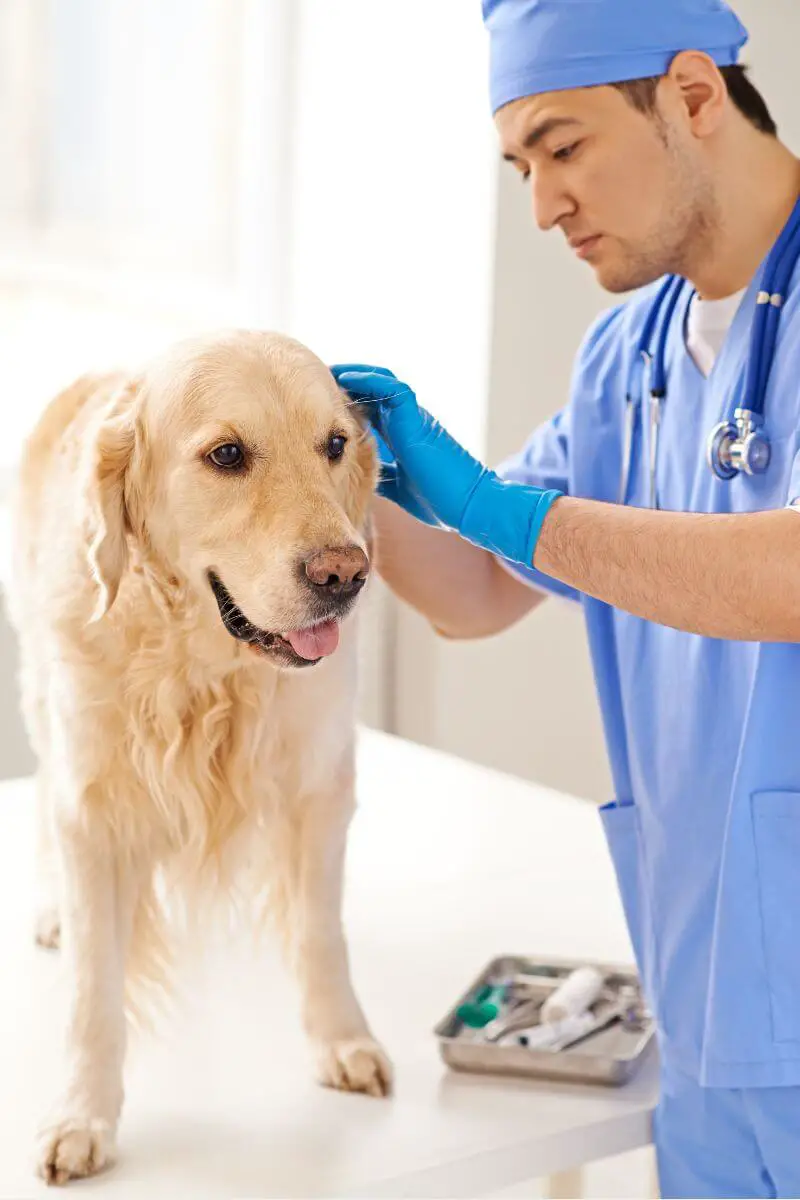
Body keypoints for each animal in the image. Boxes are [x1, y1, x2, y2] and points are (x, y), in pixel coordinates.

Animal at [7, 328, 393, 1180]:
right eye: (226, 454)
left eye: (334, 444)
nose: (345, 574)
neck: (206, 670)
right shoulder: (94, 807)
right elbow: (93, 990)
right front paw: (82, 1115)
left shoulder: (321, 784)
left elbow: (321, 934)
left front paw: (343, 1040)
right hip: (41, 689)